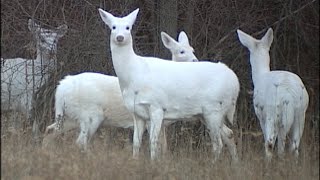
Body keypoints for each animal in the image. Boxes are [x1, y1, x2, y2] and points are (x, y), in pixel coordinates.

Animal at [99, 7, 239, 162]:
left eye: (128, 27)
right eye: (113, 27)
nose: (120, 37)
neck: (134, 75)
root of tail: (235, 82)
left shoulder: (157, 107)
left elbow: (154, 142)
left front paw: (154, 163)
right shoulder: (137, 112)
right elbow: (136, 142)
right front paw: (135, 161)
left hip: (214, 108)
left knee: (218, 143)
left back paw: (213, 163)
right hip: (206, 113)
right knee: (228, 134)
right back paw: (234, 163)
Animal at [236, 28, 308, 161]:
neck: (260, 76)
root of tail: (289, 95)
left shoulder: (260, 115)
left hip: (272, 111)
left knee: (270, 143)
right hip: (301, 112)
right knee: (294, 146)